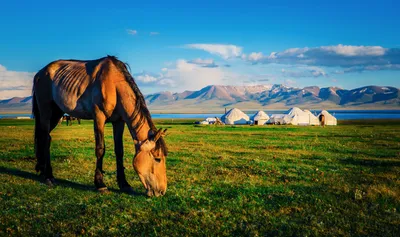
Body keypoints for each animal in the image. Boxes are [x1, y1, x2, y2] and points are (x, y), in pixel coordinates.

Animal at [32, 55, 168, 196]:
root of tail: (39, 73)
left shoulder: (119, 122)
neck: (114, 85)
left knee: (44, 137)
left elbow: (119, 151)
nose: (162, 191)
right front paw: (100, 184)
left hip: (57, 112)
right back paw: (48, 176)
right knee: (45, 138)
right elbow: (100, 149)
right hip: (46, 111)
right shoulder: (99, 117)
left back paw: (42, 170)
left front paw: (124, 184)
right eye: (157, 158)